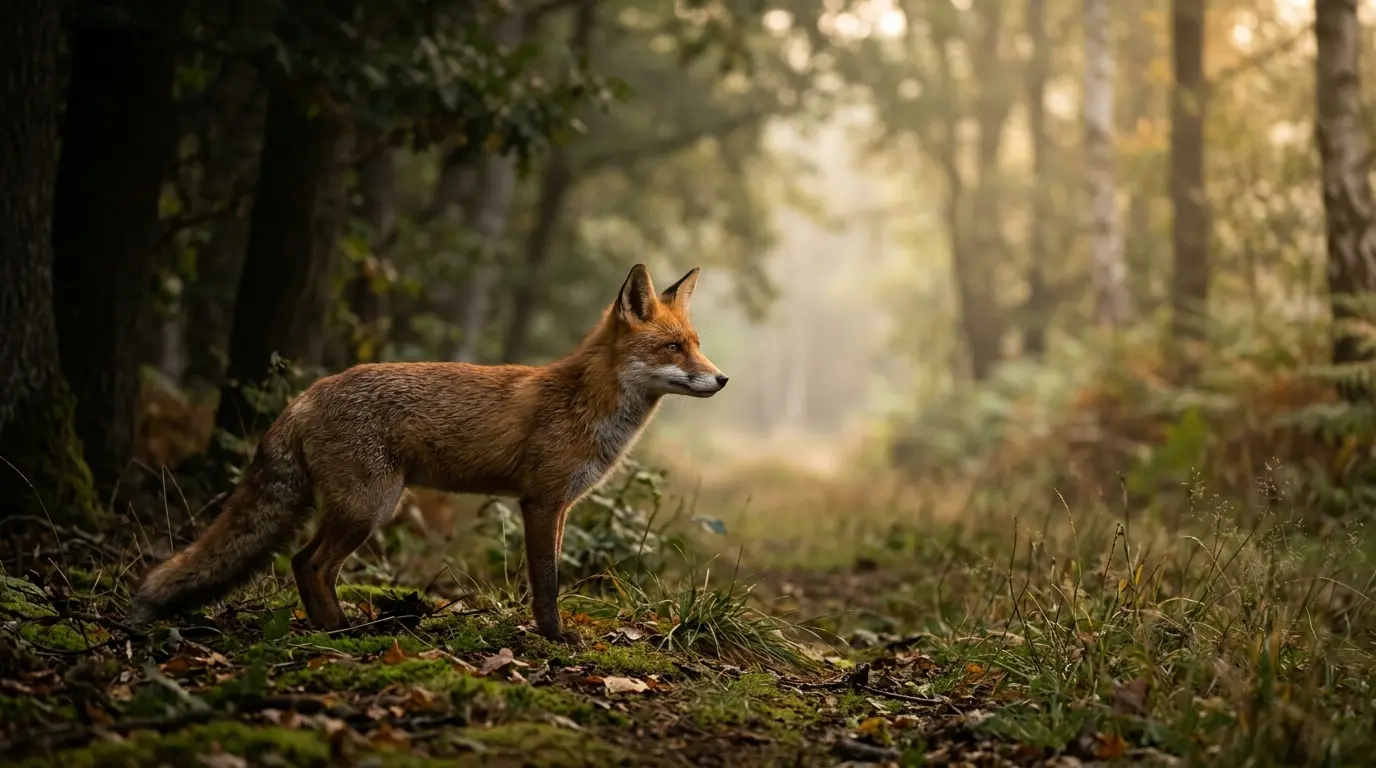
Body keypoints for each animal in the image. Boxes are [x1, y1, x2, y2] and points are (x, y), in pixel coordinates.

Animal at [128, 264, 727, 643]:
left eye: (696, 345)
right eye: (673, 348)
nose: (722, 379)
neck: (586, 404)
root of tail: (305, 394)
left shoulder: (559, 507)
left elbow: (549, 578)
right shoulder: (540, 503)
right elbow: (547, 583)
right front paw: (556, 640)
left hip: (360, 508)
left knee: (301, 561)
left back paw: (333, 627)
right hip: (371, 507)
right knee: (311, 563)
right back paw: (340, 632)